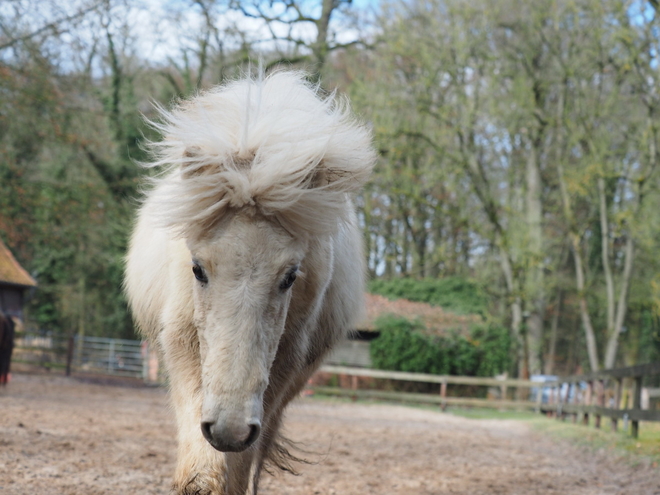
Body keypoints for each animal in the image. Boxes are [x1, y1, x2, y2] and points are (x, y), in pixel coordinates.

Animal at [122, 70, 374, 495]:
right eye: (197, 269)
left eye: (290, 276)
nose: (230, 428)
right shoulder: (183, 347)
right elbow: (200, 472)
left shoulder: (283, 368)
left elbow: (238, 469)